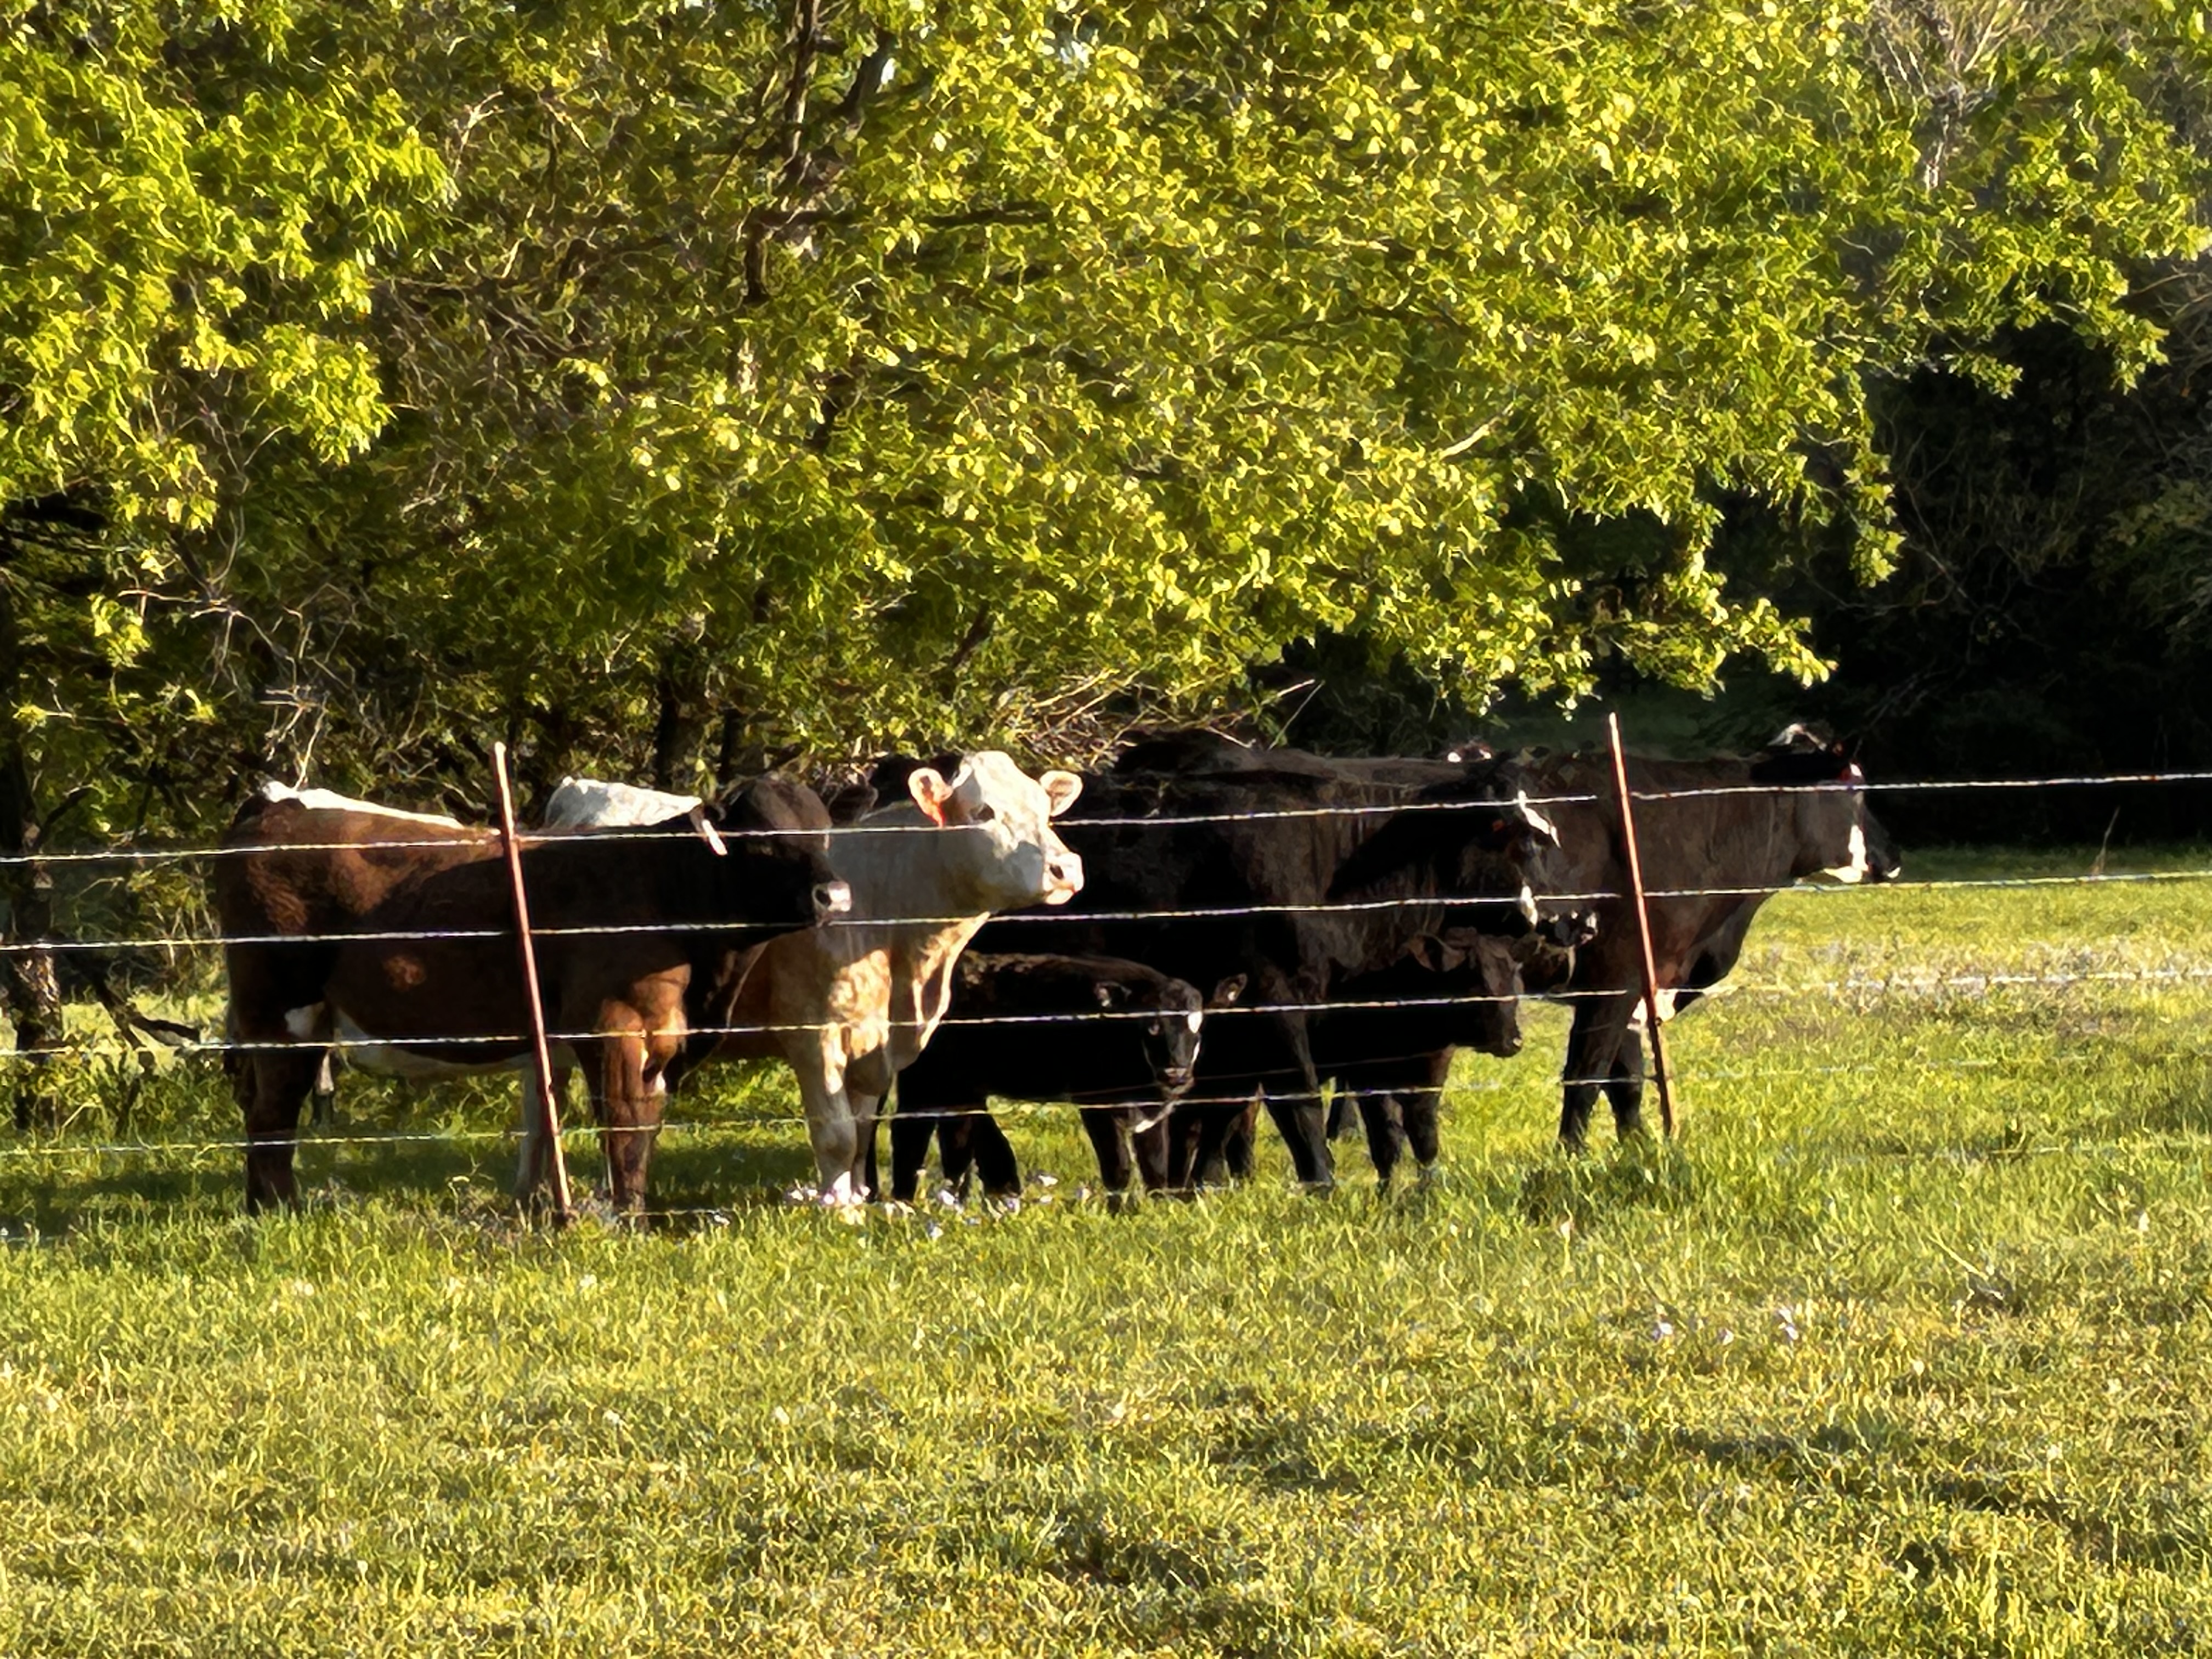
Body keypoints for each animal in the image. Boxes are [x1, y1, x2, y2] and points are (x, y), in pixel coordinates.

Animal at [214, 776, 849, 1212]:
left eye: (823, 833)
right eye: (762, 841)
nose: (835, 895)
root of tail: (274, 812)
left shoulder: (665, 1034)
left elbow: (646, 1124)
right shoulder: (614, 1025)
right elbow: (623, 1122)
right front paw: (628, 1219)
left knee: (259, 1107)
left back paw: (258, 1206)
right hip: (280, 1010)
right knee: (273, 1112)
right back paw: (281, 1209)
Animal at [526, 753, 1086, 1207]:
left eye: (1045, 811)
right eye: (984, 812)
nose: (1066, 867)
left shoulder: (875, 1043)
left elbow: (861, 1131)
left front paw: (858, 1198)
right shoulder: (815, 1033)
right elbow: (837, 1133)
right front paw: (836, 1210)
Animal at [878, 952, 1244, 1207]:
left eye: (1198, 1026)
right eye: (1151, 1027)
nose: (1176, 1073)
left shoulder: (1152, 1113)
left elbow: (1156, 1168)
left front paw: (1158, 1210)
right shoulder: (1094, 1101)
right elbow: (1118, 1166)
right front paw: (1121, 1213)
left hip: (959, 1087)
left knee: (956, 1141)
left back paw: (954, 1204)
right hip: (922, 1080)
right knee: (910, 1136)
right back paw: (903, 1203)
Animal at [1531, 724, 1902, 1148]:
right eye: (1856, 788)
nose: (1894, 856)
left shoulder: (1638, 987)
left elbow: (1626, 1081)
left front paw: (1640, 1150)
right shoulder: (1616, 978)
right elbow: (1586, 1075)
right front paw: (1571, 1157)